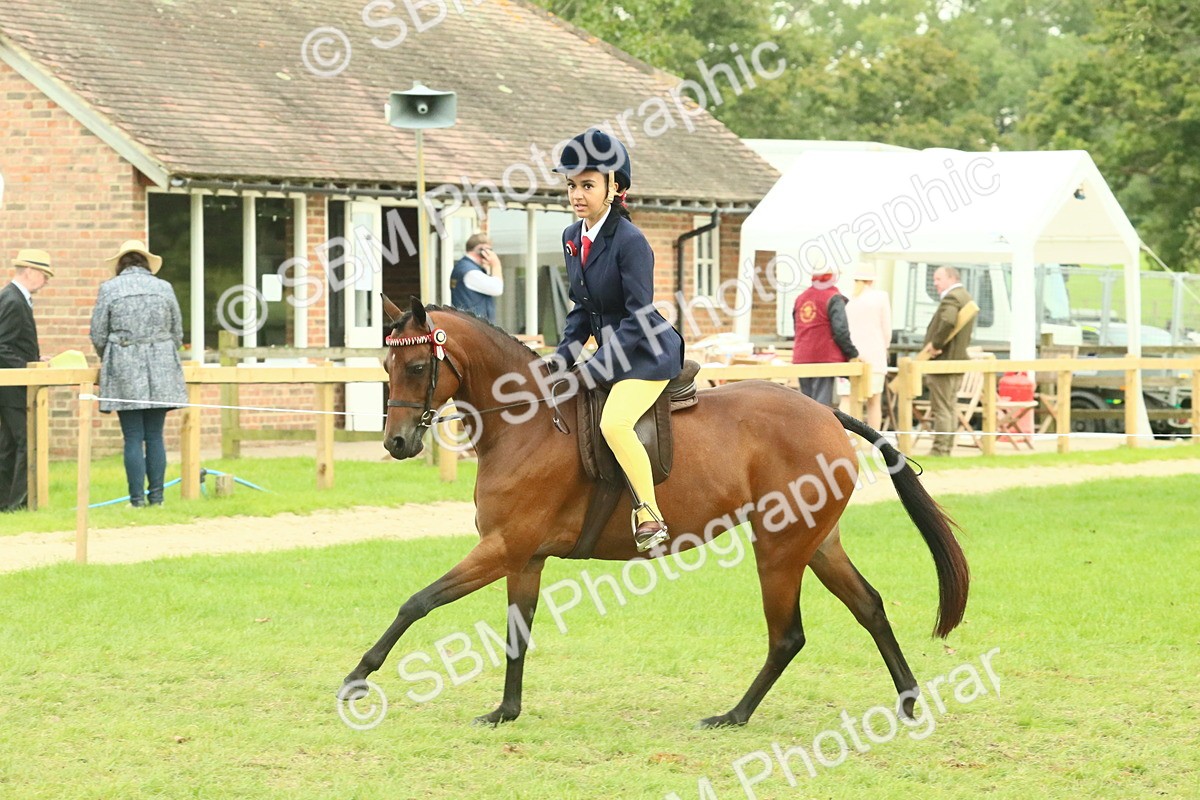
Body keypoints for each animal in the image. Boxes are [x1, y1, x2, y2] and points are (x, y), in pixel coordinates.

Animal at [340, 299, 969, 728]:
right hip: (816, 543)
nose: (397, 442)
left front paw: (357, 677)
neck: (529, 422)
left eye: (417, 367)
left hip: (780, 548)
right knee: (870, 607)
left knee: (788, 636)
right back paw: (908, 700)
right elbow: (517, 631)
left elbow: (418, 602)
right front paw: (506, 711)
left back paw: (733, 715)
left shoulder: (502, 548)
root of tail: (825, 413)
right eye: (386, 365)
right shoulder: (524, 558)